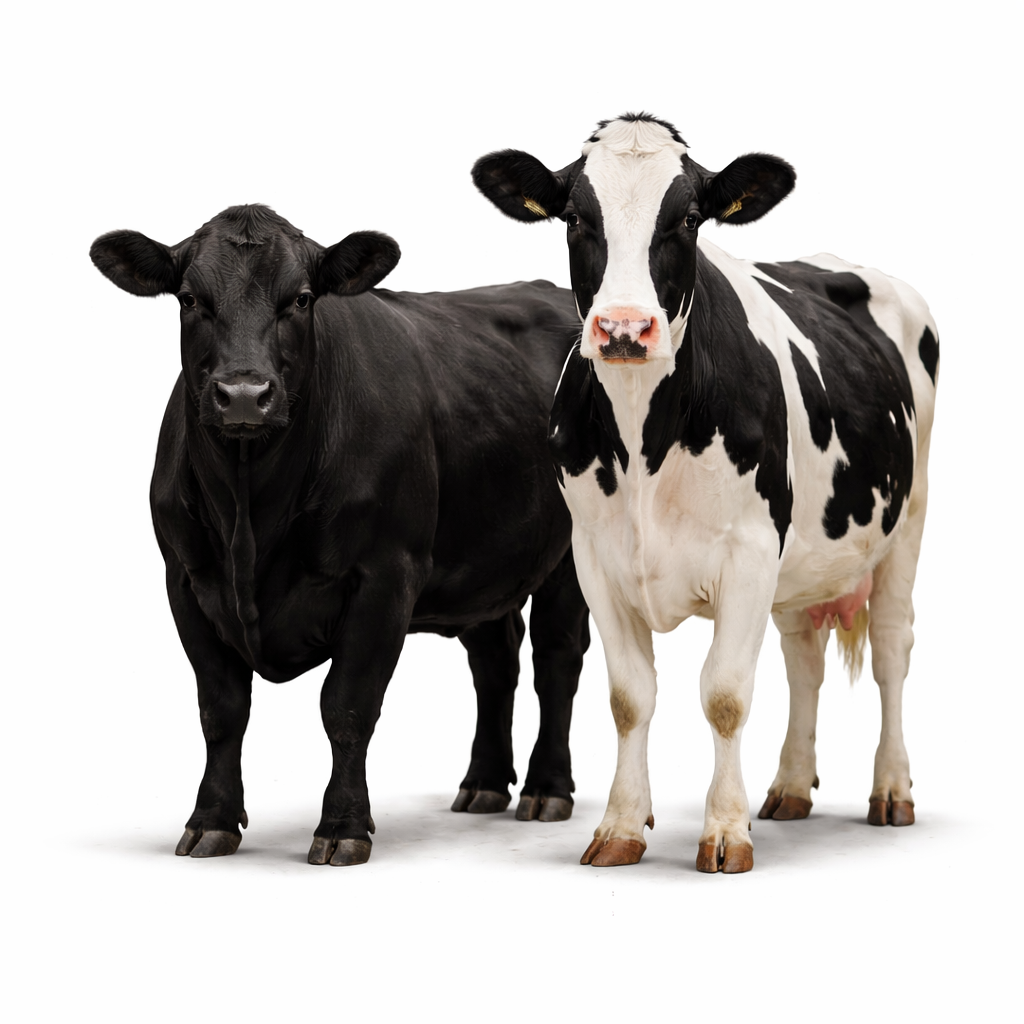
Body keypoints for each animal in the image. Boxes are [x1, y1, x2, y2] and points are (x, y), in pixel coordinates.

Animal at [89, 205, 590, 866]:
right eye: (190, 299)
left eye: (301, 299)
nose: (244, 394)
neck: (251, 516)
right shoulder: (186, 579)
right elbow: (221, 709)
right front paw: (210, 820)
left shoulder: (385, 575)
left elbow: (347, 706)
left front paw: (343, 826)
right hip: (480, 558)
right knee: (494, 658)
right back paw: (482, 784)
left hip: (576, 552)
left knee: (556, 657)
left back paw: (546, 789)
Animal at [472, 114, 938, 873]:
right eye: (575, 216)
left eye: (688, 218)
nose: (624, 328)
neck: (644, 443)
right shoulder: (596, 559)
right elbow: (630, 697)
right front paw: (621, 827)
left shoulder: (748, 553)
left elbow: (724, 694)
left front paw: (724, 832)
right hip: (799, 561)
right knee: (803, 659)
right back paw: (788, 788)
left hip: (909, 519)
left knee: (893, 650)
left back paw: (892, 790)